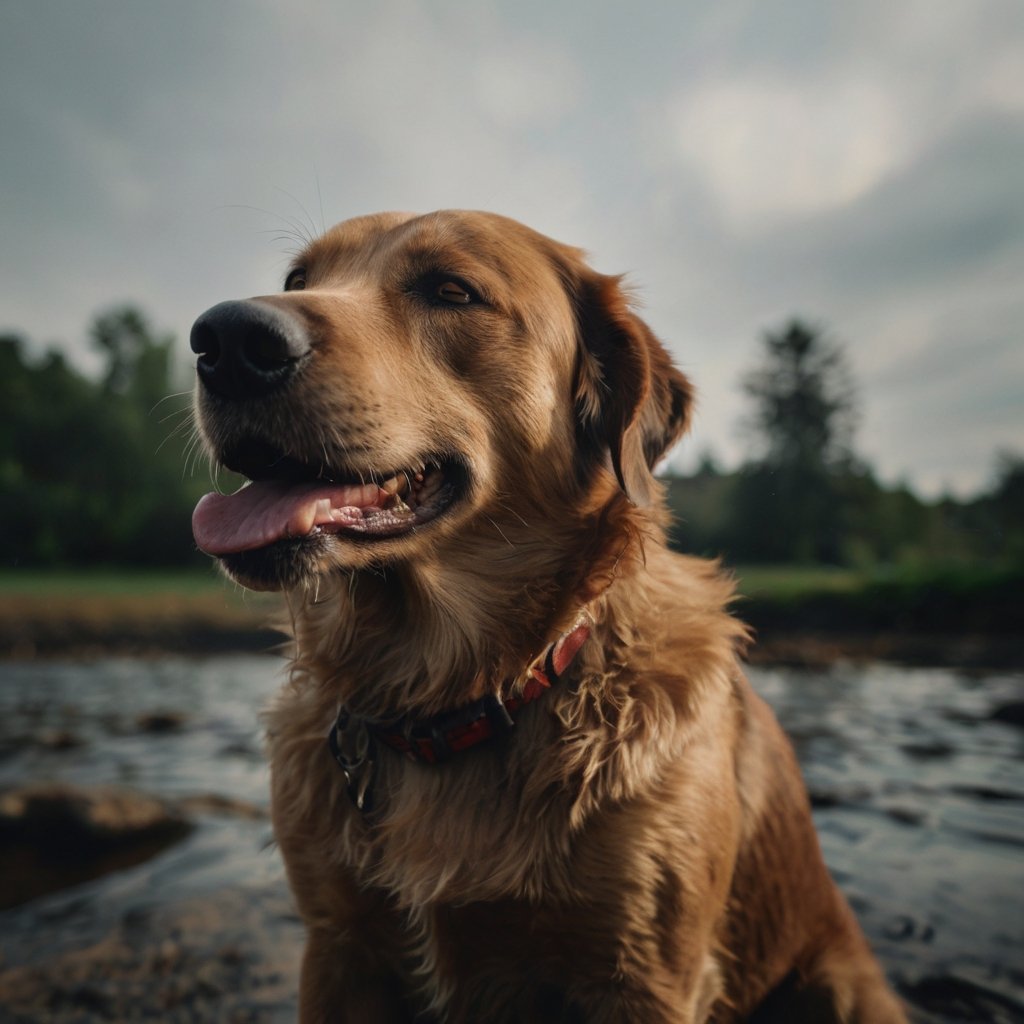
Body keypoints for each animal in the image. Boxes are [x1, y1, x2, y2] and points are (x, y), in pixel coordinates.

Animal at [186, 209, 905, 1024]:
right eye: (298, 279)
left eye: (452, 291)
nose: (224, 339)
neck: (453, 702)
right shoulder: (338, 948)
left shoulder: (644, 977)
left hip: (842, 988)